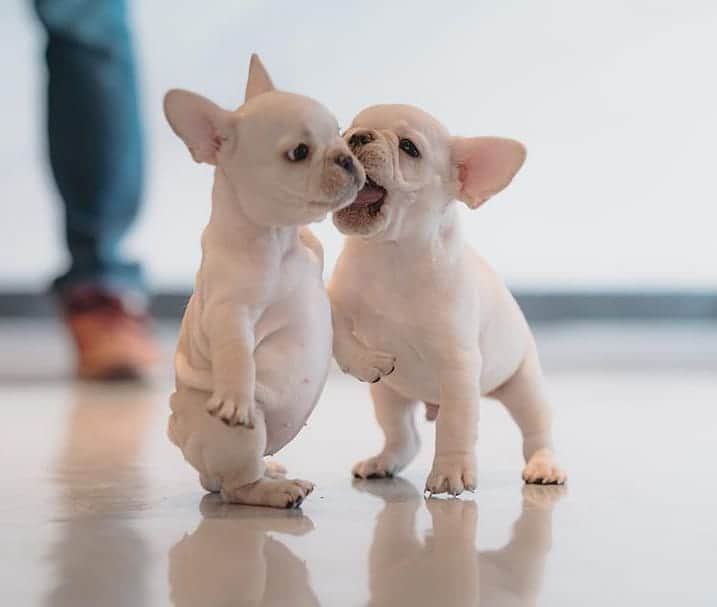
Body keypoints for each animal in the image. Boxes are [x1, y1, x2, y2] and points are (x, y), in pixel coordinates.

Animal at [164, 55, 360, 508]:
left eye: (340, 132)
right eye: (299, 153)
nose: (345, 156)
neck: (279, 236)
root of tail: (182, 437)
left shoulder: (322, 298)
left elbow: (341, 332)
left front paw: (368, 360)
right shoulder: (229, 308)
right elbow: (236, 352)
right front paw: (234, 397)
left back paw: (271, 471)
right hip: (240, 439)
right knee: (234, 485)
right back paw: (273, 489)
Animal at [328, 103, 564, 494]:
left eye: (409, 147)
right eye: (346, 129)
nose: (357, 136)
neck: (392, 253)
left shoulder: (458, 364)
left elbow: (455, 424)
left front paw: (451, 471)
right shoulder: (335, 300)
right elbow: (337, 333)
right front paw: (363, 361)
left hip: (524, 385)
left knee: (538, 431)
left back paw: (545, 465)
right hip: (389, 396)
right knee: (403, 435)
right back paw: (383, 461)